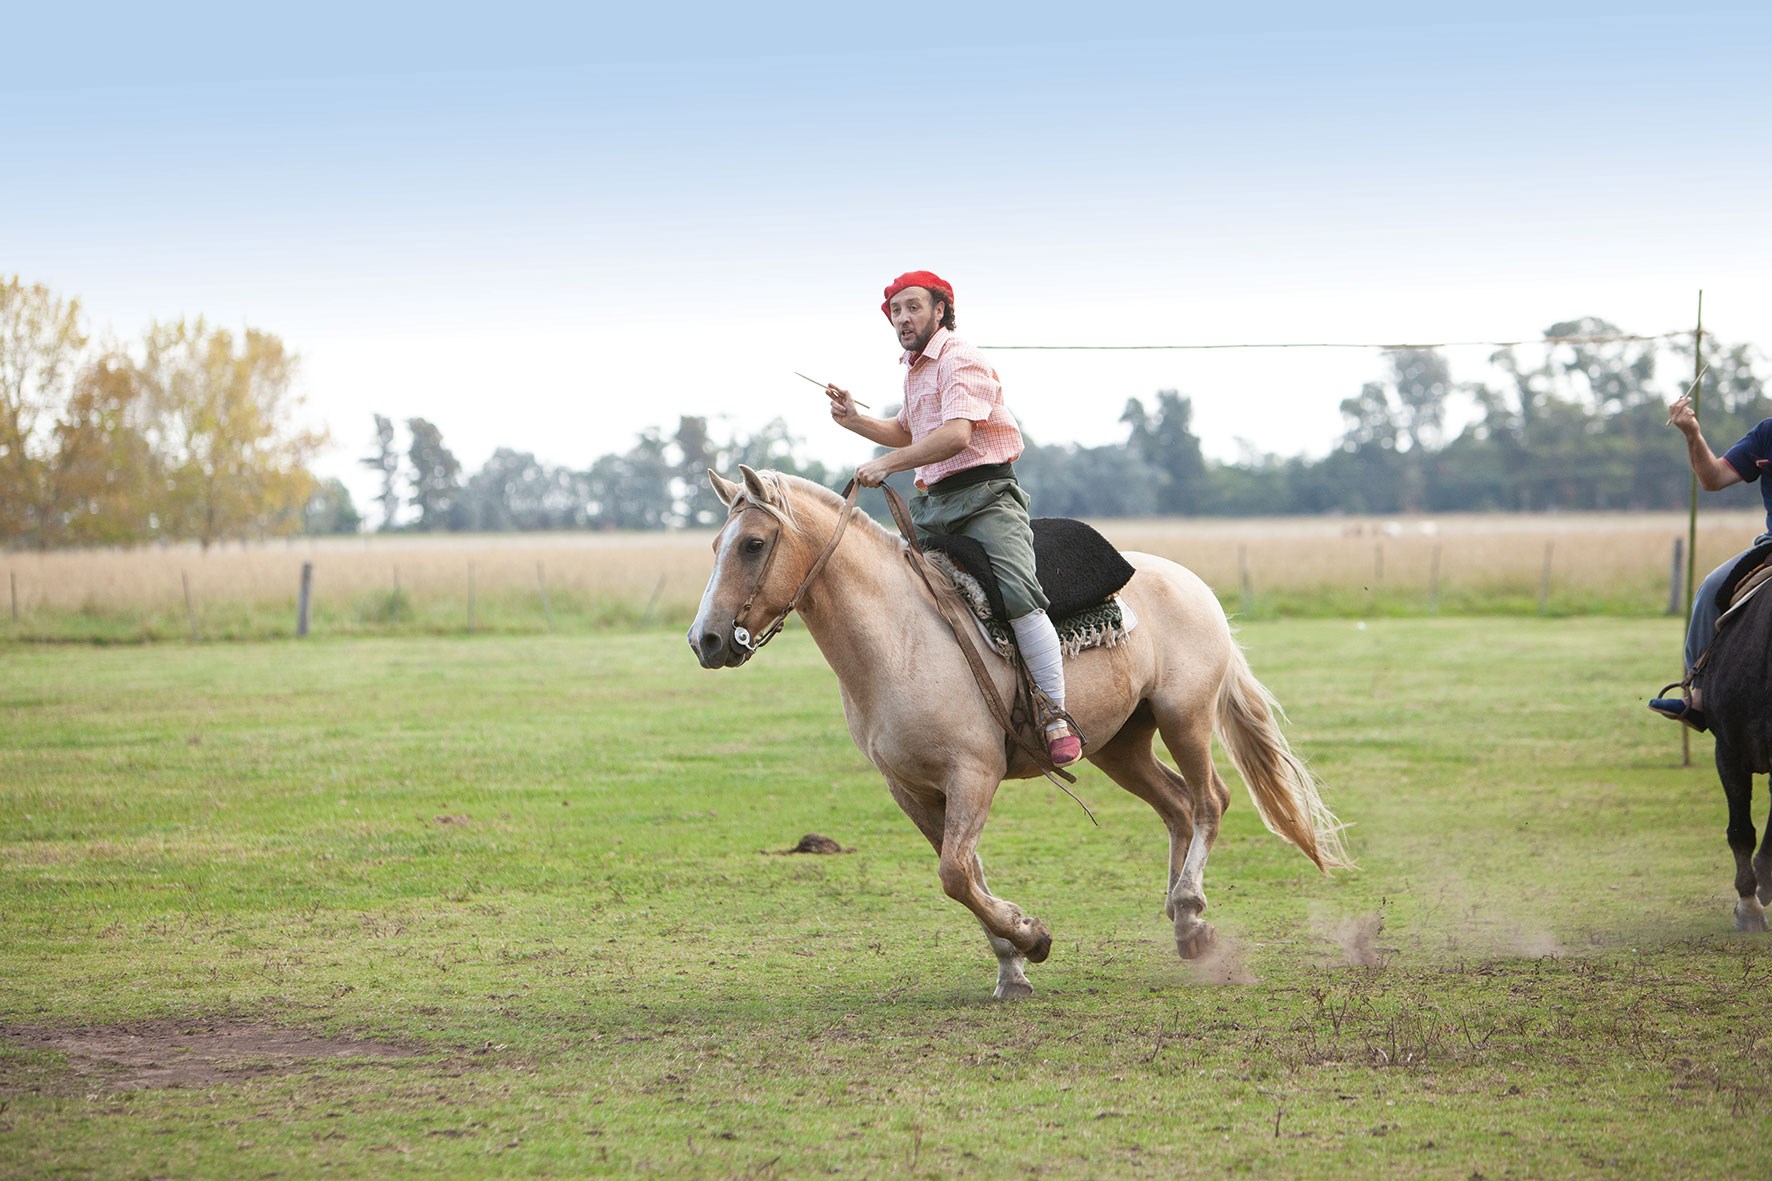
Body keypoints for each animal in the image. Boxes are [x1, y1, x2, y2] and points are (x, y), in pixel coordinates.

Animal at [688, 466, 1348, 998]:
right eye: (717, 544)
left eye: (752, 544)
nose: (706, 640)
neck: (899, 638)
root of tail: (1193, 583)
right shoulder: (912, 790)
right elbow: (967, 874)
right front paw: (1013, 968)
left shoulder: (973, 774)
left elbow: (956, 874)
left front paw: (1032, 939)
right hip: (1120, 745)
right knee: (1178, 806)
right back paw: (1187, 925)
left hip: (1183, 716)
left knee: (1211, 799)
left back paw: (1188, 912)